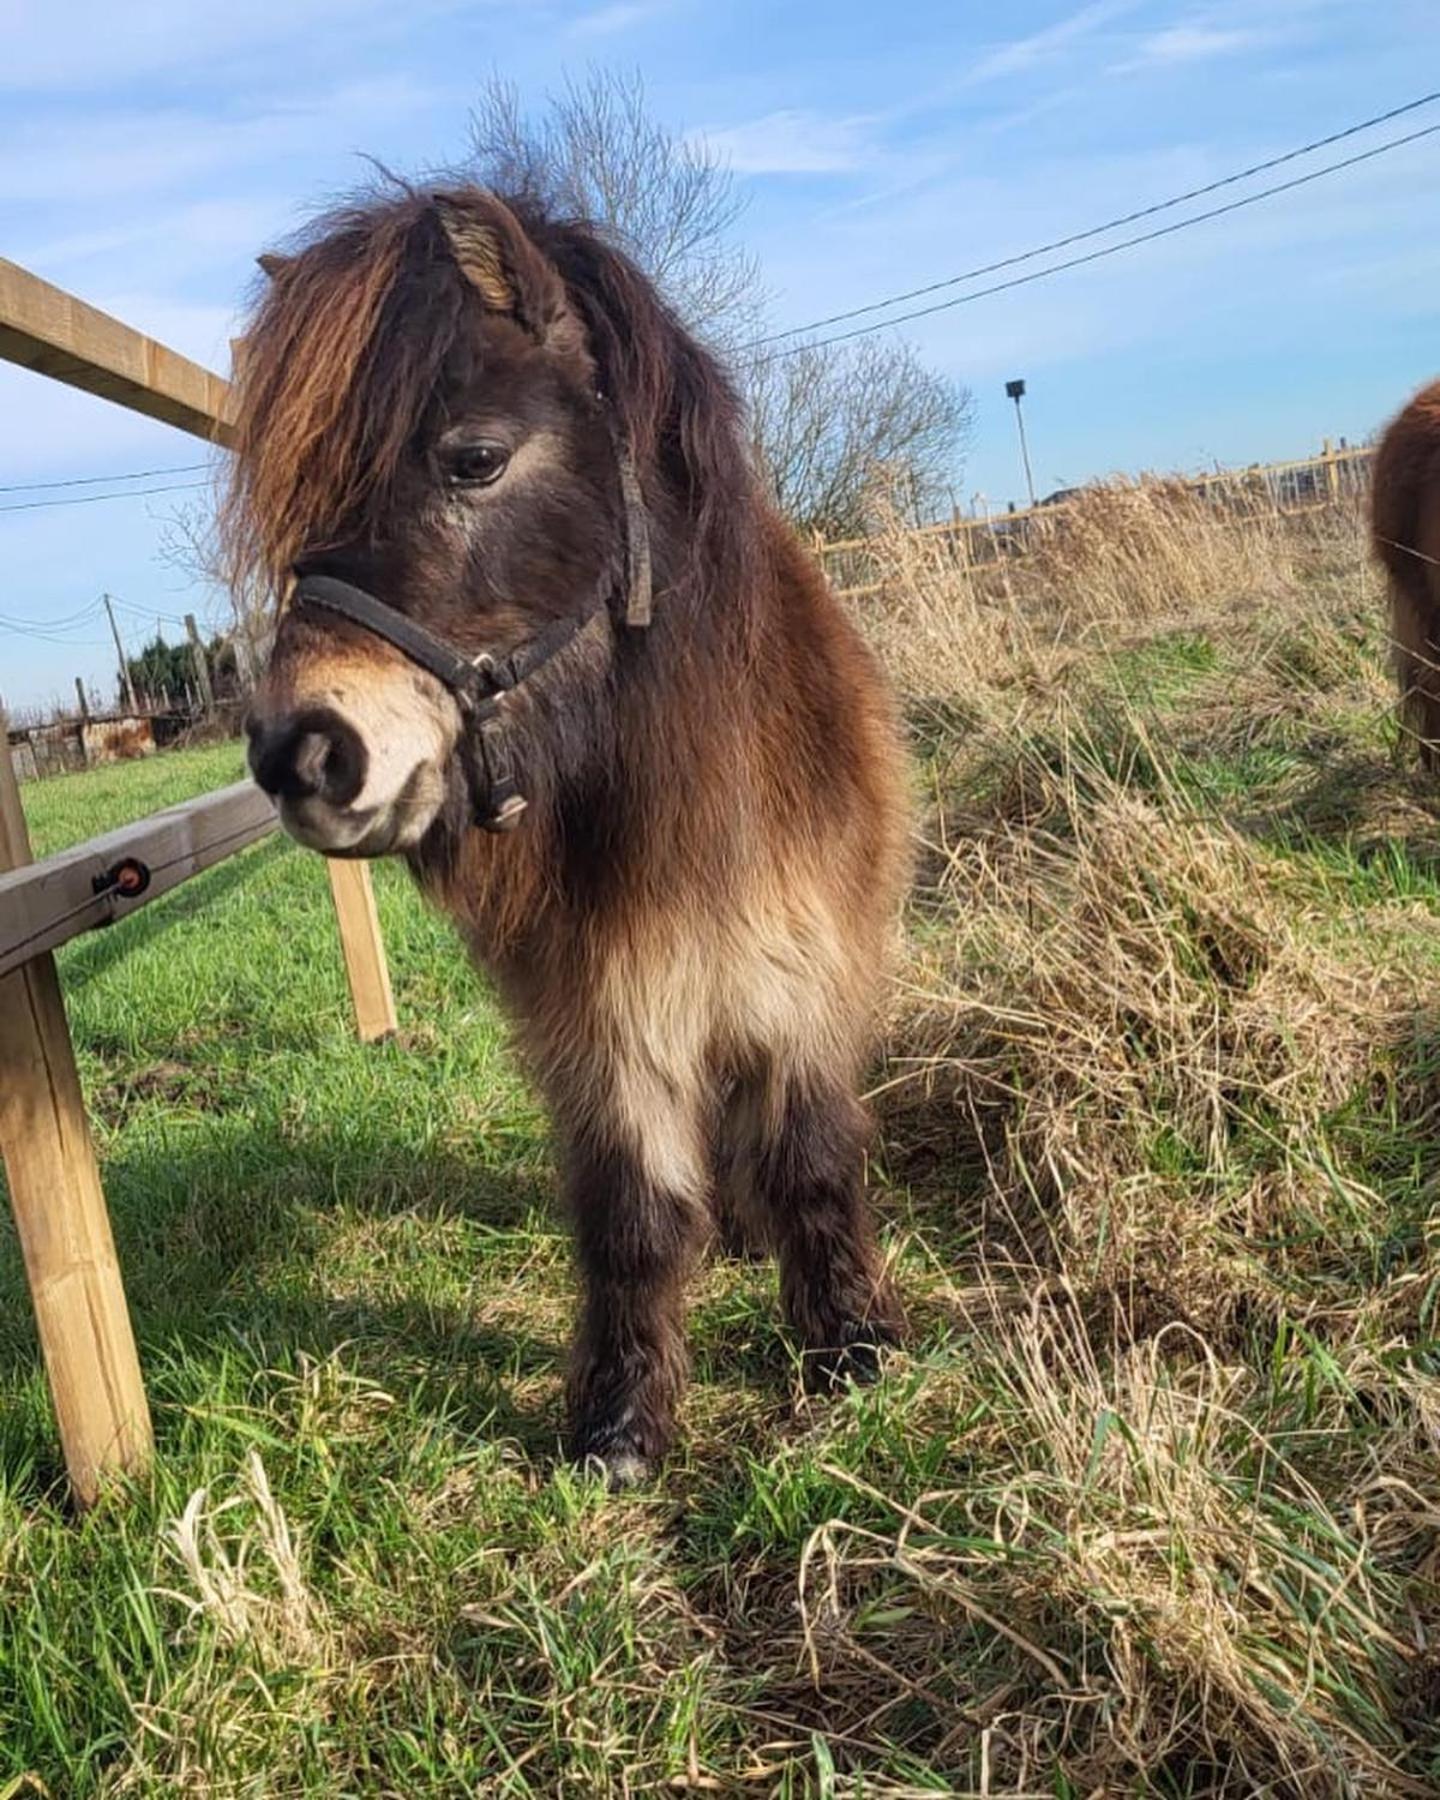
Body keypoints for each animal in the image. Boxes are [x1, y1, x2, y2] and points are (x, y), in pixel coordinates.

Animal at [227, 182, 910, 1483]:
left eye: (475, 459)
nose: (303, 757)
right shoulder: (602, 1015)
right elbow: (634, 1213)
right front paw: (623, 1424)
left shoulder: (797, 974)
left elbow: (810, 1154)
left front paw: (850, 1346)